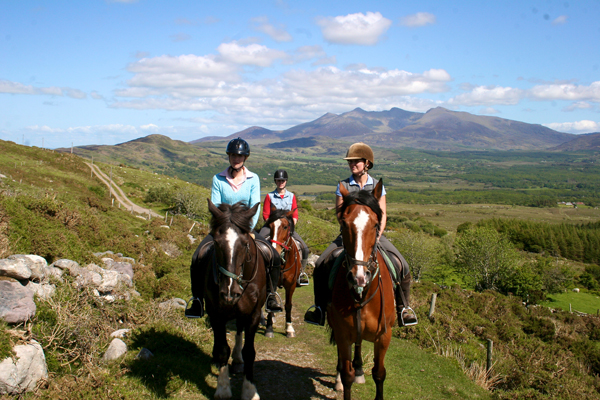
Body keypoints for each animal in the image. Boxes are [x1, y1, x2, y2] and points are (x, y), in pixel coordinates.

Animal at [198, 202, 266, 398]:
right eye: (216, 243)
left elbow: (249, 352)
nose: (229, 293)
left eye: (245, 244)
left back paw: (237, 360)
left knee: (239, 331)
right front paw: (222, 389)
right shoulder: (215, 314)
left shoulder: (254, 314)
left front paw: (250, 390)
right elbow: (222, 350)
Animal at [262, 206, 302, 338]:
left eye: (285, 226)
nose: (275, 250)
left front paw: (289, 328)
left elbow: (288, 305)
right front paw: (269, 328)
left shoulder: (291, 285)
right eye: (270, 226)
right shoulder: (271, 283)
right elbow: (270, 303)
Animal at [328, 181, 398, 400]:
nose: (359, 277)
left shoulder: (384, 336)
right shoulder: (342, 334)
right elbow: (346, 374)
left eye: (376, 225)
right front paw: (343, 380)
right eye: (343, 224)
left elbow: (379, 373)